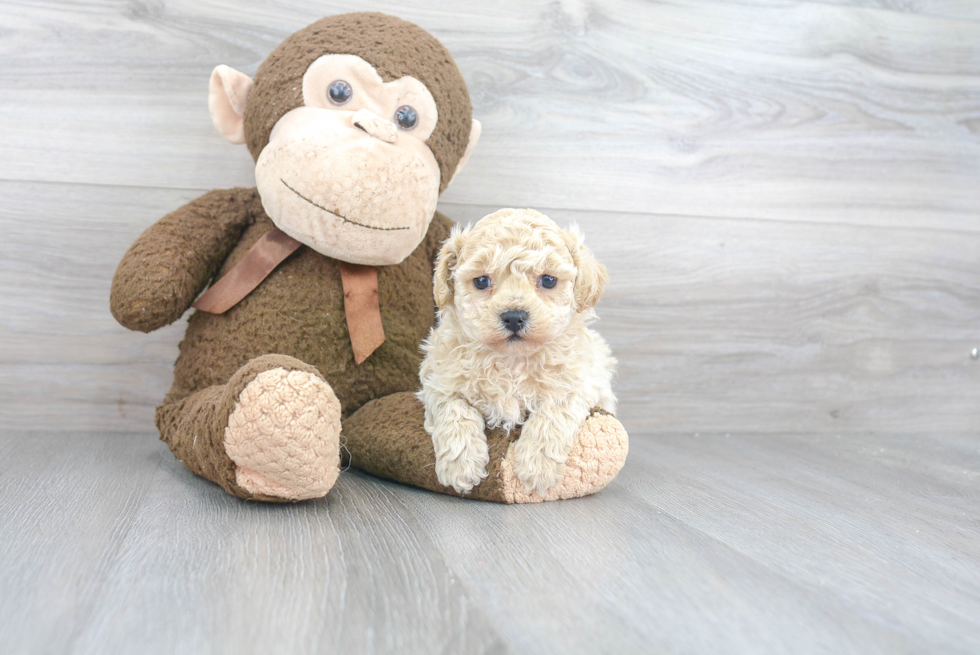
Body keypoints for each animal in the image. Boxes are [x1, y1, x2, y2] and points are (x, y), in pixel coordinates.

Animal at [418, 208, 616, 494]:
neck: (512, 360)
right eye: (481, 281)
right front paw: (461, 466)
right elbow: (455, 411)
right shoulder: (440, 383)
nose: (513, 317)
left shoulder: (579, 383)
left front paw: (536, 467)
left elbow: (553, 414)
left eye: (548, 280)